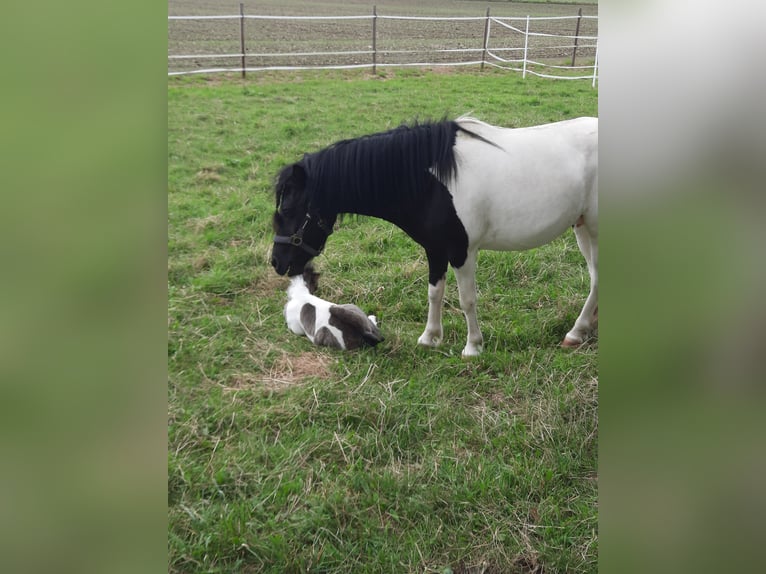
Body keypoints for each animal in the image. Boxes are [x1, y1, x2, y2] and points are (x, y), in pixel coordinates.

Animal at [272, 117, 600, 358]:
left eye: (287, 209)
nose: (277, 262)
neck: (431, 183)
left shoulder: (461, 252)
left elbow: (467, 299)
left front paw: (472, 347)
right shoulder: (435, 250)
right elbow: (435, 293)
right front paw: (430, 338)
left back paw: (576, 331)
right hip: (583, 228)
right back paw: (581, 332)